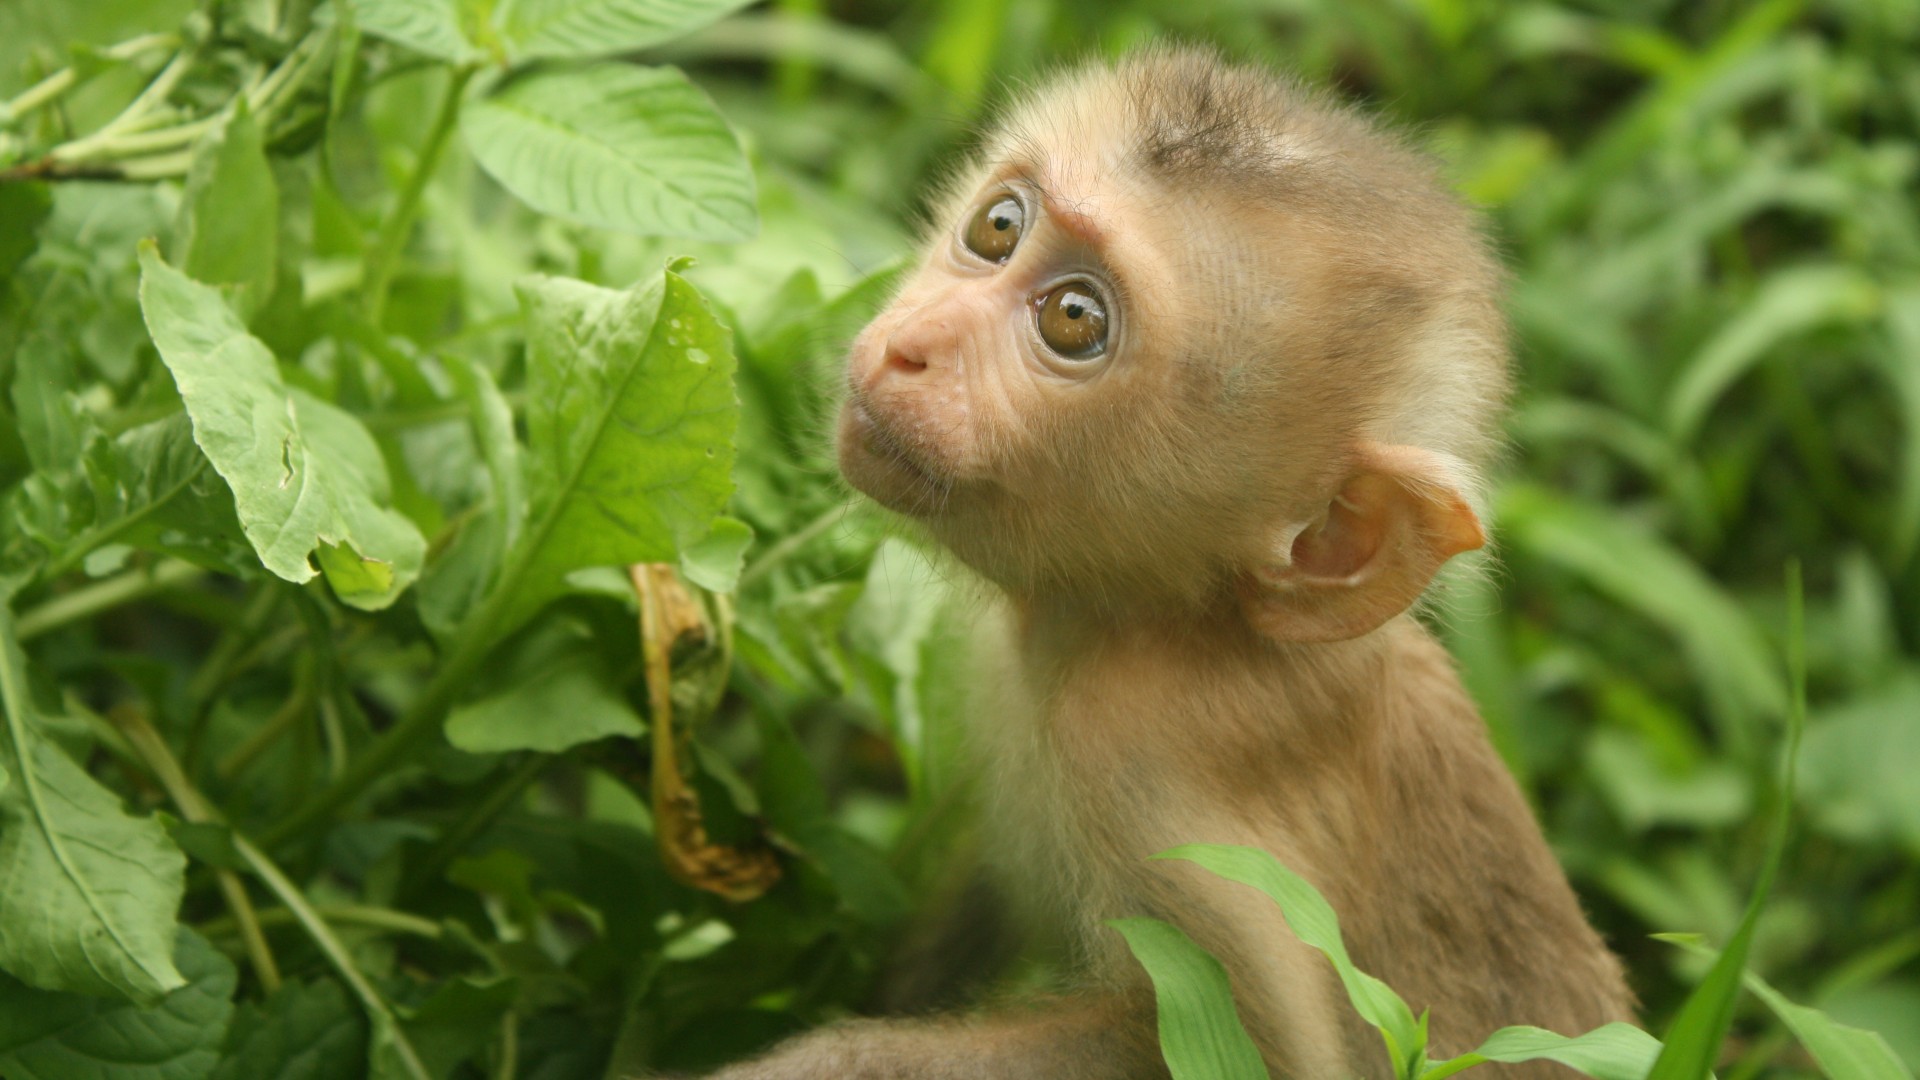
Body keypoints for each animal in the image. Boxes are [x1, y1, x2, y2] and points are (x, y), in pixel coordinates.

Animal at [706, 48, 1620, 1076]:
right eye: (997, 227)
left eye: (1074, 319)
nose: (910, 345)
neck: (1168, 621)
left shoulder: (1148, 764)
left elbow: (1239, 1043)